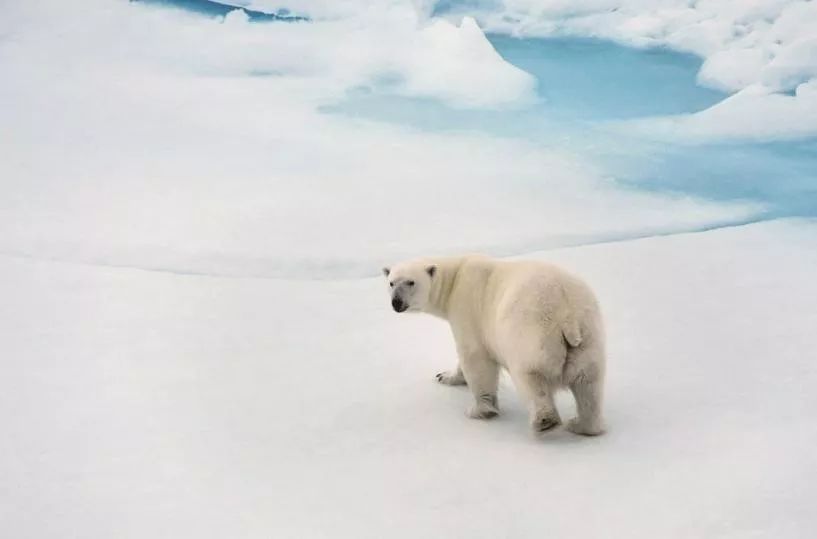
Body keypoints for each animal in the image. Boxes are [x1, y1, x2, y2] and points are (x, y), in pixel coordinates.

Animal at [384, 255, 604, 436]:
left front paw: (479, 410)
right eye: (391, 283)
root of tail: (567, 315)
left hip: (532, 335)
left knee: (531, 376)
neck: (454, 279)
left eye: (410, 282)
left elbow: (474, 357)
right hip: (588, 336)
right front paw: (445, 376)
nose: (396, 303)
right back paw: (581, 425)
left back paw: (544, 421)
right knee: (588, 383)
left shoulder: (467, 310)